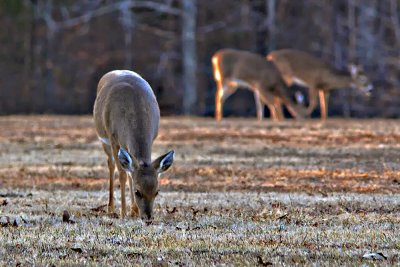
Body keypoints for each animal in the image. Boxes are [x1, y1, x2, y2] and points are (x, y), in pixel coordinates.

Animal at [94, 70, 176, 223]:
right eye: (138, 192)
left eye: (157, 191)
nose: (148, 217)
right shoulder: (113, 138)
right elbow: (122, 174)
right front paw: (123, 213)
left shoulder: (152, 137)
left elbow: (131, 173)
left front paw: (134, 211)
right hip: (104, 139)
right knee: (111, 165)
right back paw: (111, 207)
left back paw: (133, 210)